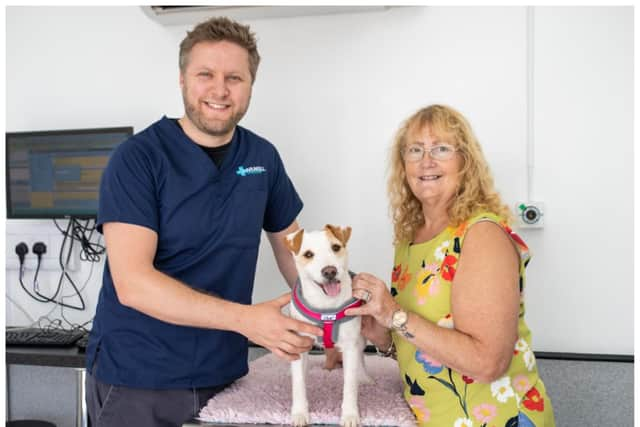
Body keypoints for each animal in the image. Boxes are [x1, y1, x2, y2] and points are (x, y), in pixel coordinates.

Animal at [284, 226, 370, 426]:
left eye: (336, 247)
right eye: (308, 254)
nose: (330, 271)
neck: (326, 306)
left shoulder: (350, 346)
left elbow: (349, 385)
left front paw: (350, 415)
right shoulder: (298, 343)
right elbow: (298, 384)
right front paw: (300, 413)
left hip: (360, 337)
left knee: (360, 355)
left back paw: (363, 377)